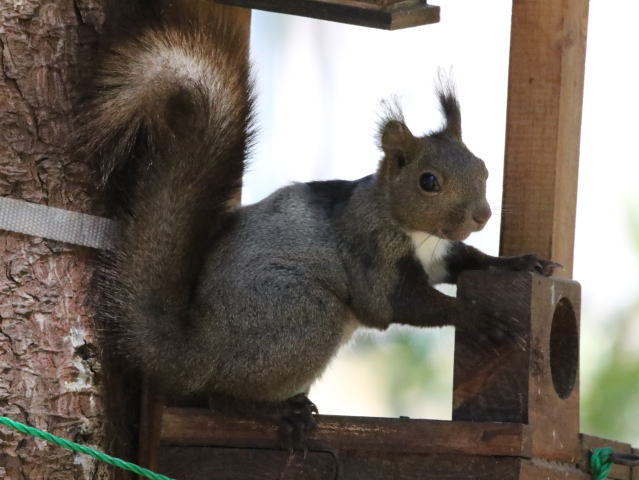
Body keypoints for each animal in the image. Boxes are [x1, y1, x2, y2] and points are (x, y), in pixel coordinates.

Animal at [80, 0, 558, 447]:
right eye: (429, 182)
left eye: (482, 168)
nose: (482, 215)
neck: (413, 230)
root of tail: (196, 352)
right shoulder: (371, 254)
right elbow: (402, 303)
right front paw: (480, 319)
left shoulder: (439, 255)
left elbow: (470, 262)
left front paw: (520, 263)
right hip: (300, 313)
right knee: (223, 396)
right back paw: (275, 412)